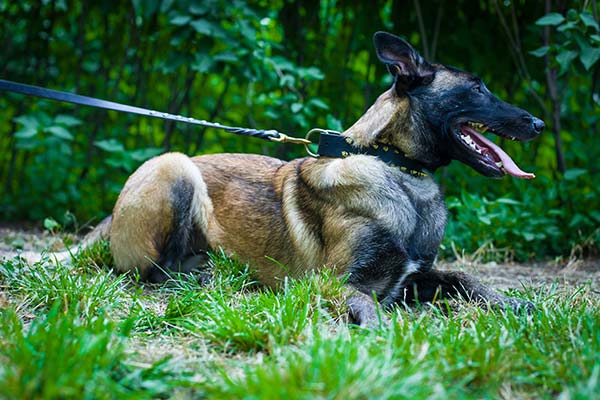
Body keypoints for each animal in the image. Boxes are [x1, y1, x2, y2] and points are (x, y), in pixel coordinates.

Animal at [81, 31, 544, 324]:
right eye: (478, 88)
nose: (538, 123)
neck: (393, 167)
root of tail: (110, 218)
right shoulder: (333, 282)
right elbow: (366, 303)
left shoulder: (413, 277)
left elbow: (464, 278)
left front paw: (512, 302)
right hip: (174, 166)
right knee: (154, 272)